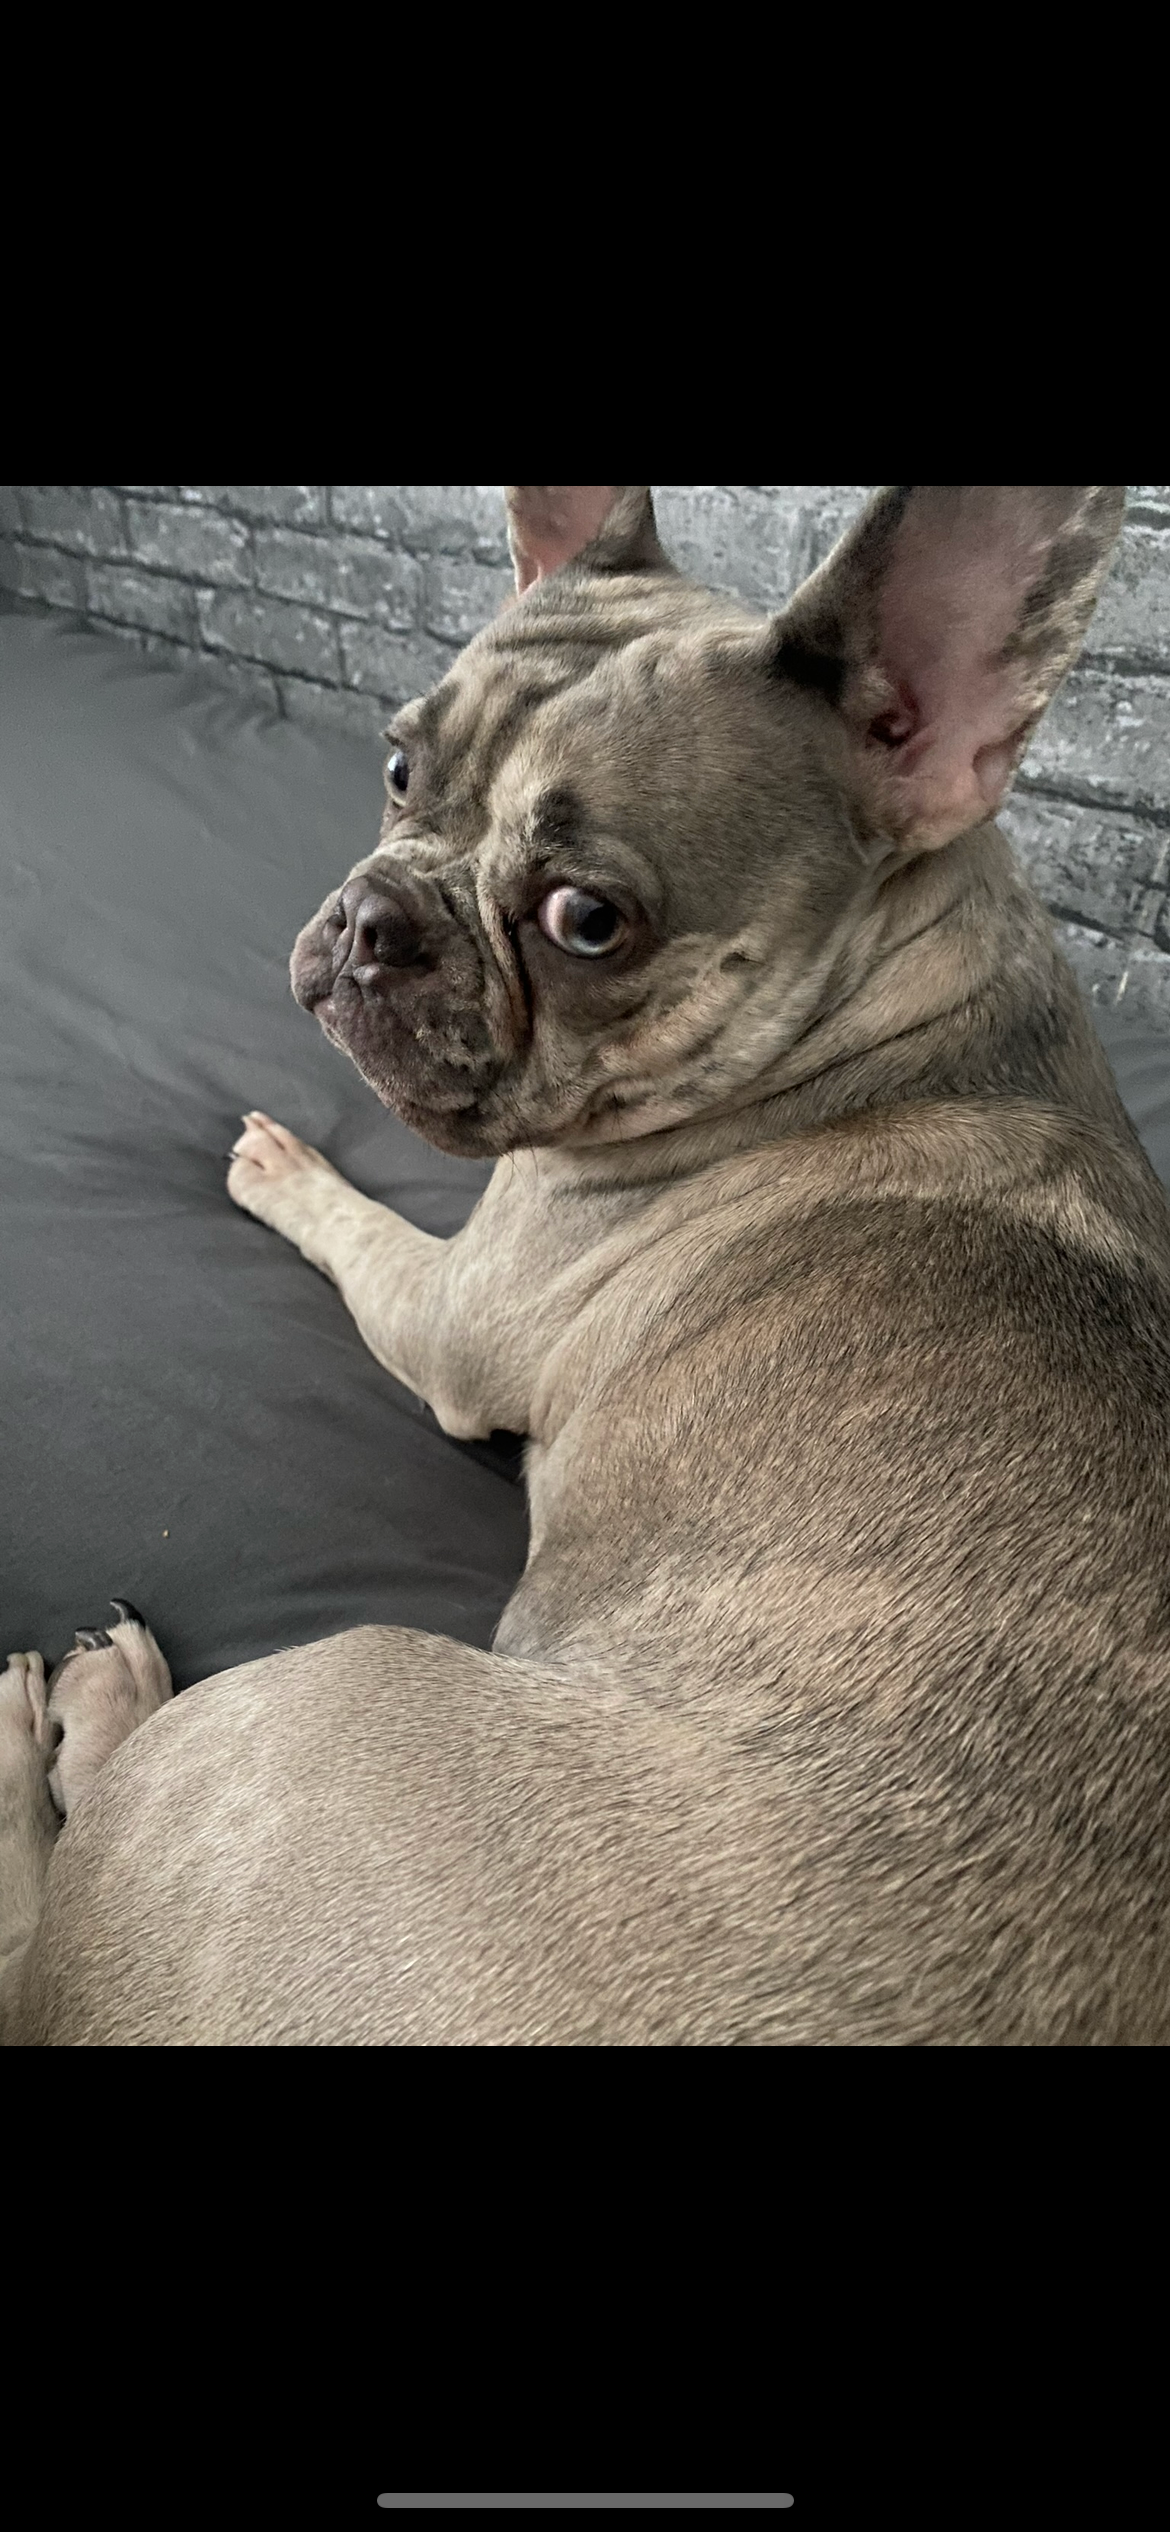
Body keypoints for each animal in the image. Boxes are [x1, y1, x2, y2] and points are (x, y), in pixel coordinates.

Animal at [5, 480, 1170, 2046]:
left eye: (588, 922)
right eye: (396, 768)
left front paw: (284, 1169)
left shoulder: (450, 1307)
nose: (373, 917)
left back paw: (71, 1722)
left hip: (304, 1706)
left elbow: (361, 1225)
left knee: (33, 1940)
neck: (879, 1022)